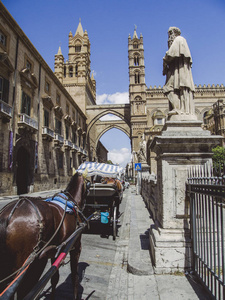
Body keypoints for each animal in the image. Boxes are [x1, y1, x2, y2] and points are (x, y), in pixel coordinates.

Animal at [0, 171, 89, 300]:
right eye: (89, 184)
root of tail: (8, 215)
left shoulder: (56, 251)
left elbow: (54, 277)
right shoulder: (76, 246)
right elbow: (74, 276)